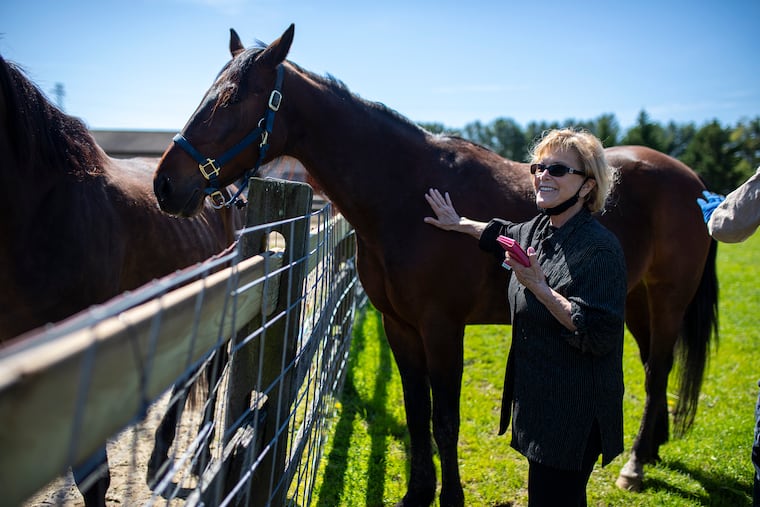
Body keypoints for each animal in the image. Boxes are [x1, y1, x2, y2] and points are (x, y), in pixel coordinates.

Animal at [152, 25, 718, 506]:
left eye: (230, 98)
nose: (165, 184)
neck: (405, 194)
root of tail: (693, 184)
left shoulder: (442, 327)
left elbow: (445, 418)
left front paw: (450, 498)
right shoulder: (400, 326)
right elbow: (416, 409)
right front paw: (418, 493)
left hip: (667, 297)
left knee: (659, 370)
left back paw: (636, 465)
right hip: (633, 300)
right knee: (654, 368)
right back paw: (651, 449)